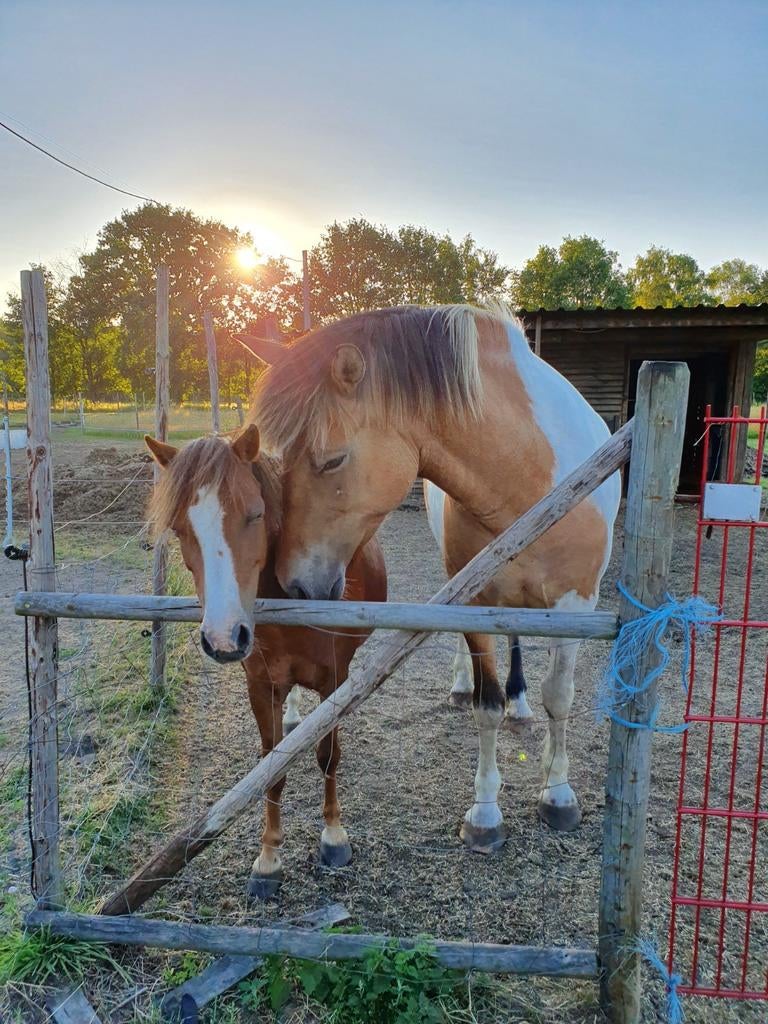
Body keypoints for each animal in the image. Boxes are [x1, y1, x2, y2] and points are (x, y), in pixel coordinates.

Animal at [144, 425, 387, 898]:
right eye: (180, 528)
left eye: (255, 515)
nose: (223, 638)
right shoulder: (259, 684)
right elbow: (271, 769)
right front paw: (269, 857)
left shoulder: (334, 680)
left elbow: (328, 755)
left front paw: (333, 836)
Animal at [250, 304, 621, 849]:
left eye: (333, 459)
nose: (294, 584)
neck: (530, 477)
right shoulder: (474, 601)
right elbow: (487, 706)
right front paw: (485, 813)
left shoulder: (576, 605)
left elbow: (559, 697)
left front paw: (558, 793)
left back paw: (521, 703)